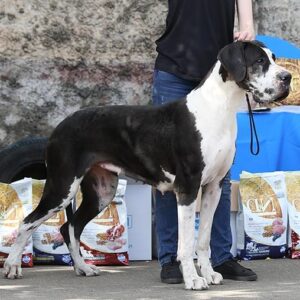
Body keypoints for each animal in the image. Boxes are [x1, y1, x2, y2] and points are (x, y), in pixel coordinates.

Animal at [3, 41, 292, 290]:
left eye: (274, 58)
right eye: (259, 61)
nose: (287, 77)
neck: (219, 107)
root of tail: (58, 127)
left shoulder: (214, 187)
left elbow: (203, 239)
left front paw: (209, 274)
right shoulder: (188, 188)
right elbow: (186, 243)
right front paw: (193, 280)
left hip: (102, 192)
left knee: (70, 226)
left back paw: (83, 268)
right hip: (62, 187)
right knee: (27, 222)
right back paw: (12, 266)